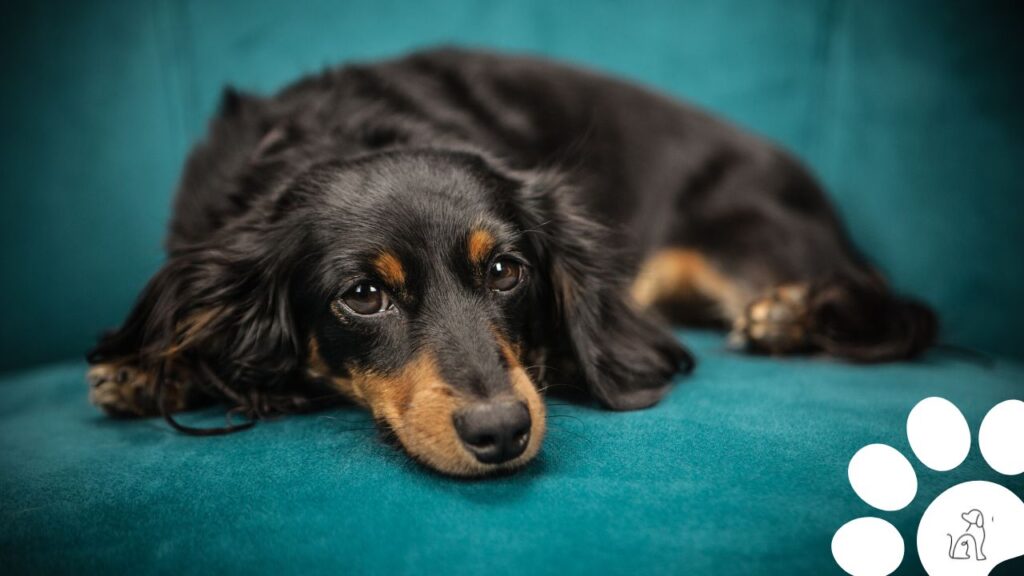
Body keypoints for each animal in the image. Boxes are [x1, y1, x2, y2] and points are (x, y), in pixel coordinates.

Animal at [88, 47, 937, 473]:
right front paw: (145, 368)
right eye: (362, 295)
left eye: (505, 271)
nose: (501, 432)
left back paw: (789, 315)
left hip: (743, 237)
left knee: (893, 310)